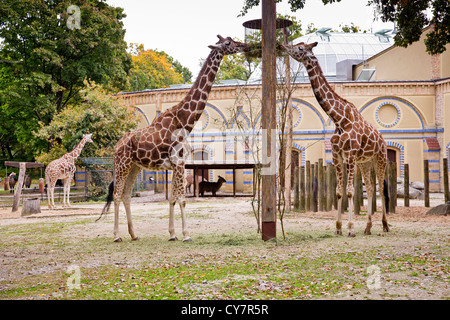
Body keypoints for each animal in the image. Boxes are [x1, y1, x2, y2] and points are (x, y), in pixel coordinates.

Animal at [101, 35, 250, 242]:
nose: (244, 46)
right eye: (228, 43)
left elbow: (172, 198)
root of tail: (116, 146)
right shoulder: (179, 163)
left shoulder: (176, 164)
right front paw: (186, 234)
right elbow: (182, 199)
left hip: (134, 167)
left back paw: (134, 234)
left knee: (126, 195)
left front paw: (172, 234)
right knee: (116, 194)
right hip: (122, 164)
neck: (185, 122)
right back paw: (116, 236)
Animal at [282, 42, 390, 236]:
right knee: (371, 187)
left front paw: (350, 228)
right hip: (365, 162)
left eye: (301, 48)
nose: (283, 45)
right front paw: (338, 227)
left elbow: (350, 191)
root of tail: (383, 140)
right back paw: (368, 227)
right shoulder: (337, 156)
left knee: (381, 188)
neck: (339, 119)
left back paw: (385, 225)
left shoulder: (351, 155)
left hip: (380, 158)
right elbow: (339, 192)